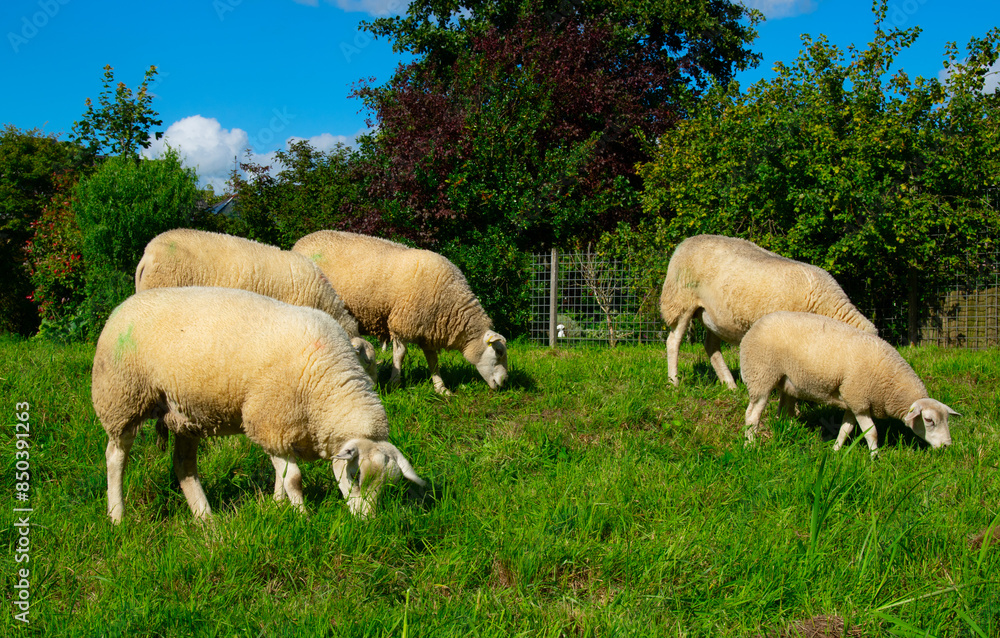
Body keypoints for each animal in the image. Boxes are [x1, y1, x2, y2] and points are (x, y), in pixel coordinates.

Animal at [90, 288, 426, 524]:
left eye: (385, 485)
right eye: (355, 476)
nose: (366, 522)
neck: (327, 383)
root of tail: (122, 306)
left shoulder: (281, 428)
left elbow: (281, 475)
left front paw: (279, 507)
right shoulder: (269, 420)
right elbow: (293, 478)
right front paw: (303, 517)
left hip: (184, 414)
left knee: (184, 466)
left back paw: (206, 518)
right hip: (121, 398)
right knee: (115, 457)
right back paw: (117, 515)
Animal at [292, 230, 508, 396]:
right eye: (498, 352)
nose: (505, 383)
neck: (450, 301)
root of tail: (301, 241)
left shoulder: (427, 330)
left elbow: (433, 361)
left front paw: (441, 388)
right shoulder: (400, 323)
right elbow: (400, 355)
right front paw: (394, 382)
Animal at [664, 232, 876, 388]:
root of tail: (687, 241)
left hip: (713, 315)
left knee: (711, 347)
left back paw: (730, 385)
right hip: (680, 301)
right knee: (673, 341)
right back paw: (674, 382)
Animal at [740, 312, 956, 458]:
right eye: (929, 420)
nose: (947, 446)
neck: (890, 381)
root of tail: (753, 327)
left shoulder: (854, 402)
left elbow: (846, 429)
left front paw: (836, 450)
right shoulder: (860, 400)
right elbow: (872, 433)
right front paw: (875, 458)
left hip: (784, 380)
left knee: (781, 411)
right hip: (761, 375)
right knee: (752, 416)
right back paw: (750, 445)